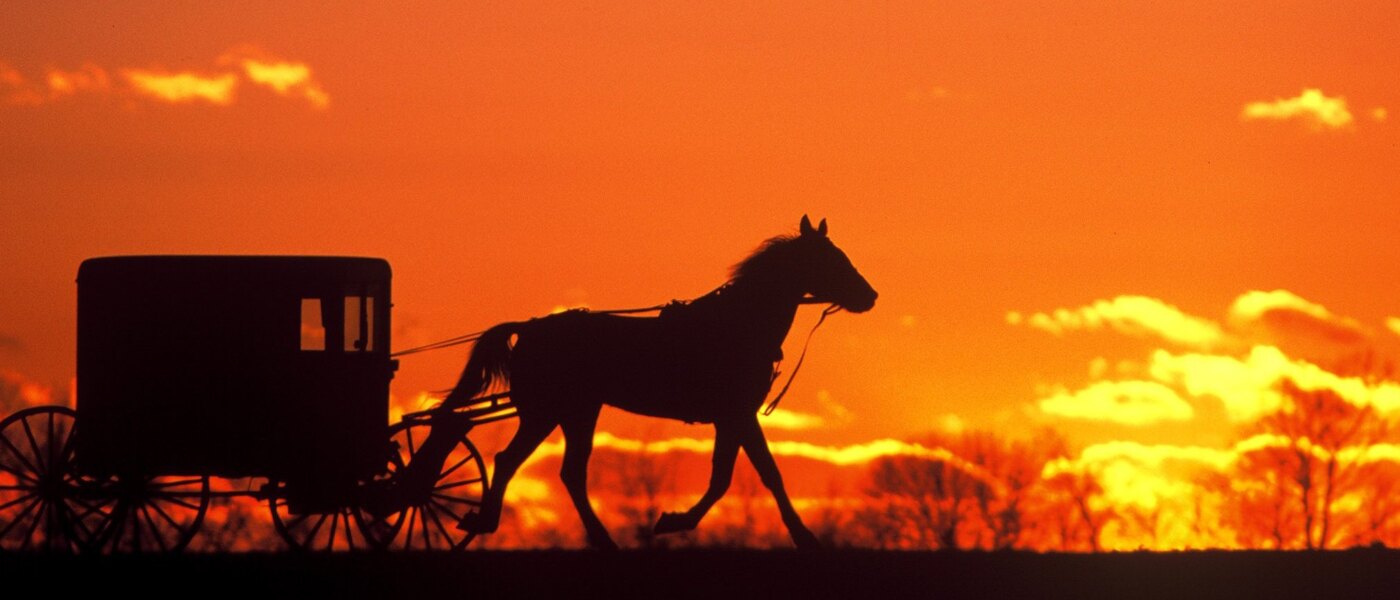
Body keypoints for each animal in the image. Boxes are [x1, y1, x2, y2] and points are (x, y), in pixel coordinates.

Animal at [442, 215, 873, 548]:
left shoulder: (734, 418)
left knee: (567, 472)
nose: (871, 296)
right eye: (830, 259)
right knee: (513, 460)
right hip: (546, 412)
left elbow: (737, 474)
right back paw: (489, 522)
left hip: (576, 412)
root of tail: (530, 328)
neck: (735, 325)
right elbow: (748, 475)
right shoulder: (736, 415)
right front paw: (803, 537)